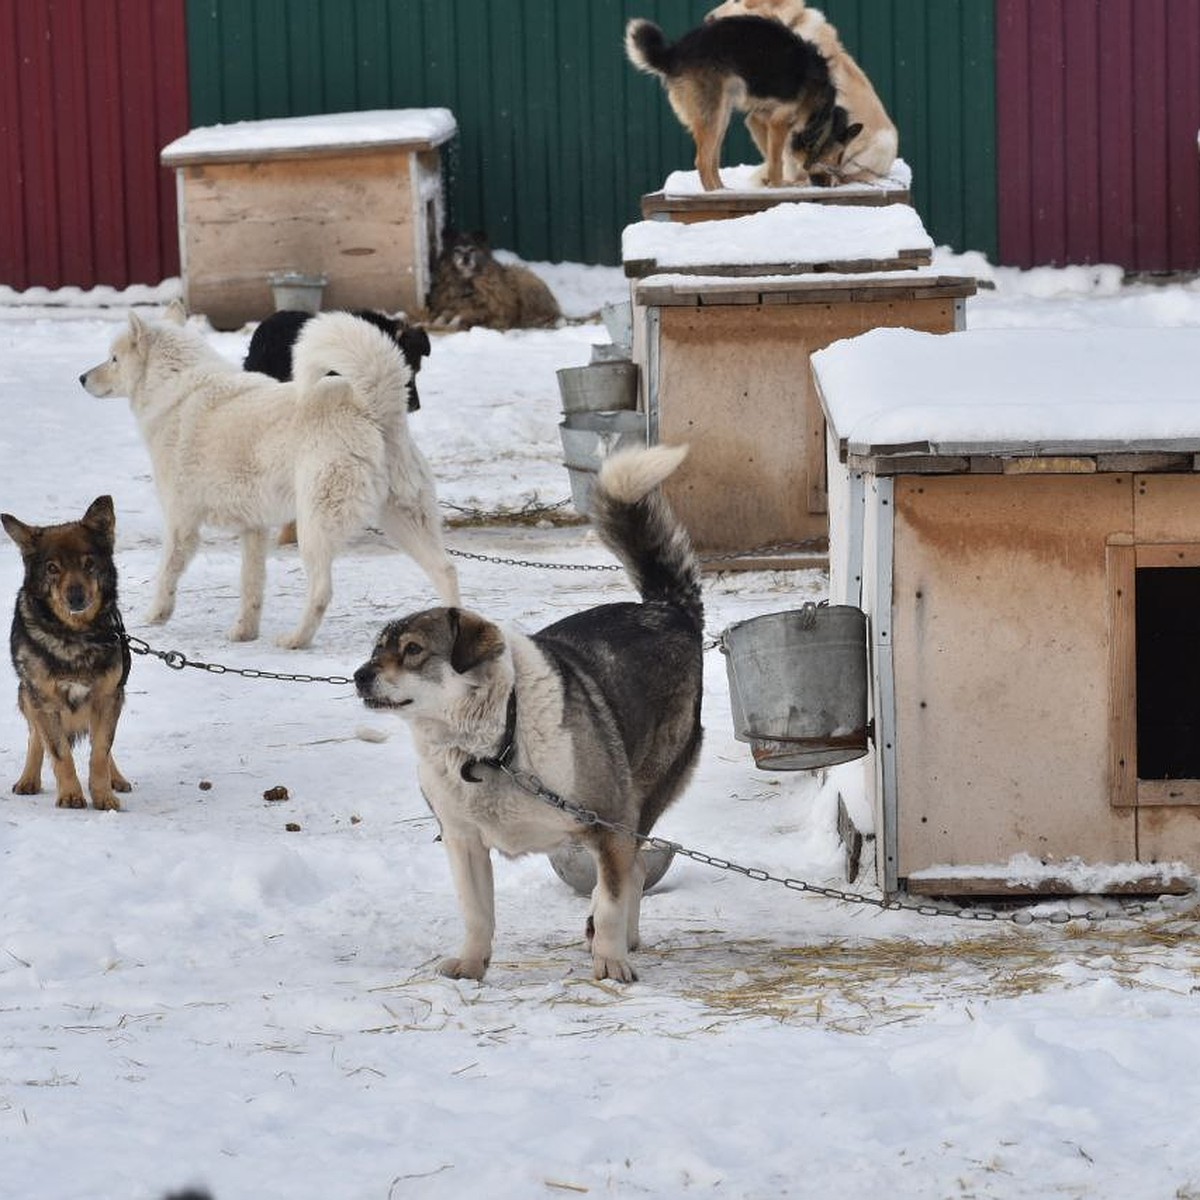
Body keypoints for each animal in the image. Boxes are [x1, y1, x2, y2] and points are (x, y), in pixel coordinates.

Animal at [1, 492, 130, 811]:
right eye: (52, 568)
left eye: (89, 564)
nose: (76, 597)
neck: (75, 636)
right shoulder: (45, 702)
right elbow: (59, 752)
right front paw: (71, 794)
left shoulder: (108, 698)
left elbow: (100, 751)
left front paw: (103, 795)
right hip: (27, 696)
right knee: (36, 738)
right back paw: (28, 780)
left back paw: (117, 778)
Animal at [82, 307, 458, 648]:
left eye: (113, 359)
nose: (82, 378)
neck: (176, 389)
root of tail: (373, 409)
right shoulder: (254, 529)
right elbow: (251, 586)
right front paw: (244, 633)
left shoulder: (181, 524)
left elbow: (166, 574)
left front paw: (154, 616)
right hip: (405, 523)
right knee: (446, 569)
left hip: (315, 527)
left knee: (321, 591)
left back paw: (296, 639)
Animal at [350, 446, 700, 979]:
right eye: (377, 650)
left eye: (412, 651)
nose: (359, 676)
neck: (490, 746)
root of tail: (668, 610)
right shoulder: (463, 841)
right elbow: (476, 913)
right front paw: (471, 966)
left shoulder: (610, 825)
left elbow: (612, 899)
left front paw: (610, 963)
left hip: (645, 794)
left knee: (635, 871)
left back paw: (619, 942)